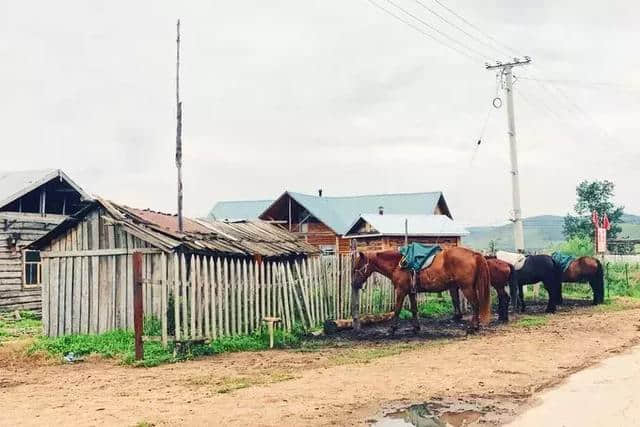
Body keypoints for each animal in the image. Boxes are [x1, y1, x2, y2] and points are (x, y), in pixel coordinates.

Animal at [352, 247, 492, 334]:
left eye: (358, 266)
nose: (354, 284)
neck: (397, 265)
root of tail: (474, 254)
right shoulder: (410, 292)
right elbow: (414, 310)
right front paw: (416, 328)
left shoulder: (401, 291)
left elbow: (397, 310)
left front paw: (392, 329)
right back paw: (475, 326)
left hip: (466, 288)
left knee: (475, 305)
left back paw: (472, 328)